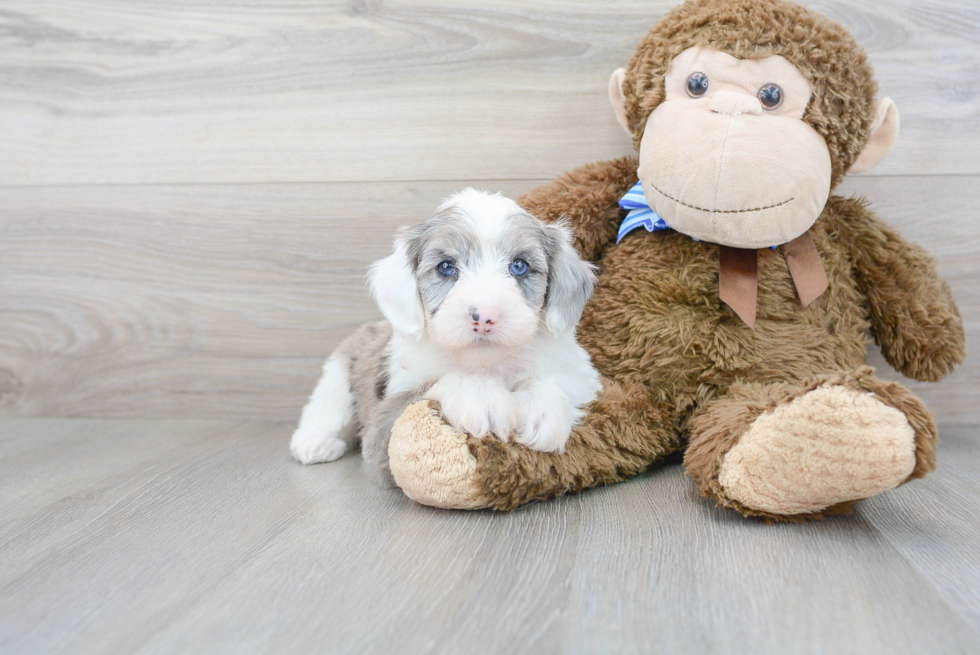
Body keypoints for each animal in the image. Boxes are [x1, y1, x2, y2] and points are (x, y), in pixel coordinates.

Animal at [288, 187, 600, 484]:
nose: (484, 317)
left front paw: (541, 412)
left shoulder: (585, 377)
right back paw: (316, 442)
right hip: (340, 371)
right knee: (327, 407)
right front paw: (480, 396)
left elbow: (555, 380)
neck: (487, 363)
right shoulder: (386, 419)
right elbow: (436, 383)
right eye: (446, 267)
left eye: (520, 265)